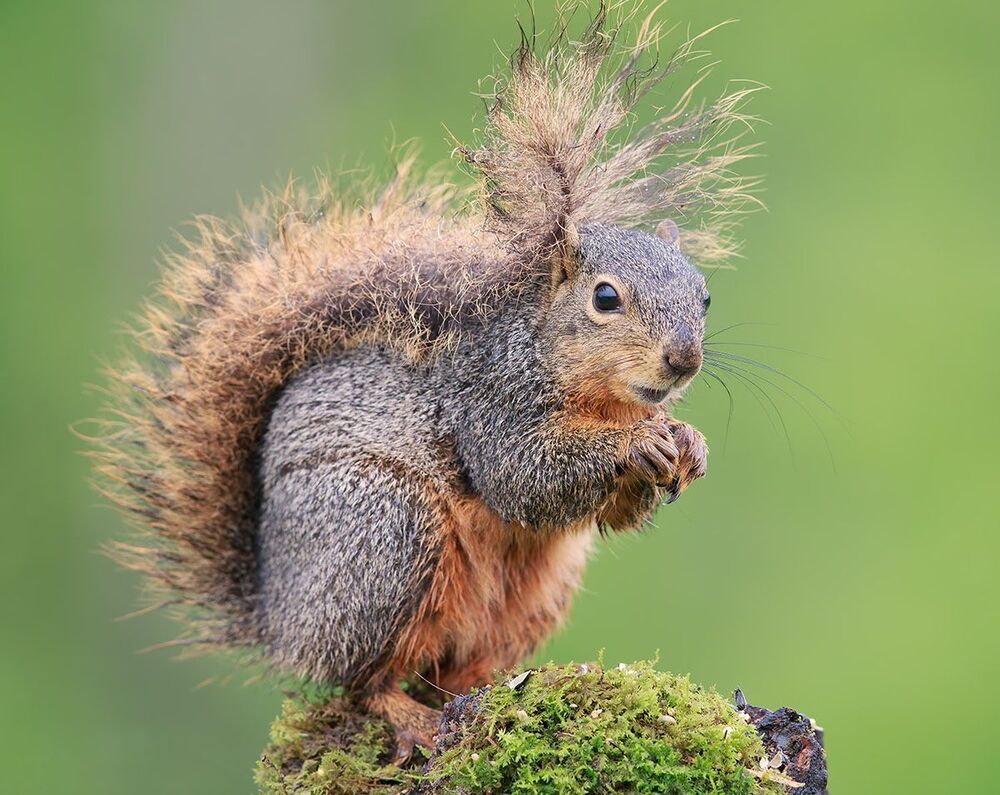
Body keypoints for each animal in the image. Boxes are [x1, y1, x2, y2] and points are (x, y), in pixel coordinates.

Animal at [94, 6, 757, 761]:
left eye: (705, 296)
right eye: (606, 298)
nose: (683, 360)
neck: (594, 395)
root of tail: (279, 616)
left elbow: (608, 511)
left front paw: (688, 443)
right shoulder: (488, 401)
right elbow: (524, 475)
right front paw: (637, 445)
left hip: (536, 590)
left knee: (446, 667)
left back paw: (493, 688)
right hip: (386, 534)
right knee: (362, 679)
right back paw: (412, 717)